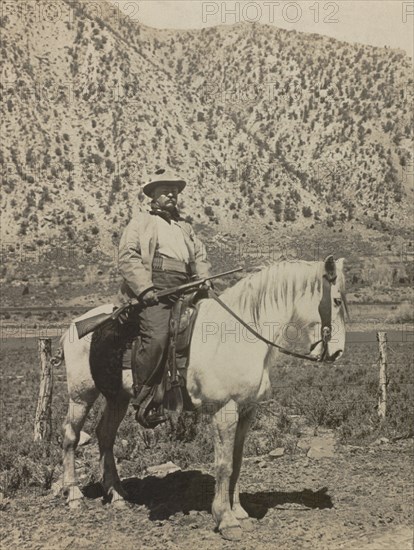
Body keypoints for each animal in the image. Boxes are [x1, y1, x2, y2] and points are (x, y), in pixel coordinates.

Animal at [60, 258, 346, 544]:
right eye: (337, 301)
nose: (338, 352)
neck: (236, 335)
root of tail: (73, 327)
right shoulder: (224, 410)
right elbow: (223, 465)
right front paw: (226, 519)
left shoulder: (247, 410)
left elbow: (237, 461)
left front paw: (239, 512)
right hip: (81, 395)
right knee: (71, 436)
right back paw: (74, 495)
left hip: (117, 398)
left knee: (105, 435)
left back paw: (117, 494)